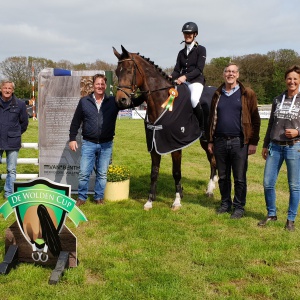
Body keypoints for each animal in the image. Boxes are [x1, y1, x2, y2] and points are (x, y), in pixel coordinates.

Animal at [112, 45, 216, 210]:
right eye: (116, 72)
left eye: (129, 71)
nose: (121, 101)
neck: (162, 101)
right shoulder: (154, 143)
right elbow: (154, 172)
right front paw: (149, 201)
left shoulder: (175, 145)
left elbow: (176, 172)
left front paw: (177, 201)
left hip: (208, 140)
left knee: (213, 161)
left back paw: (211, 189)